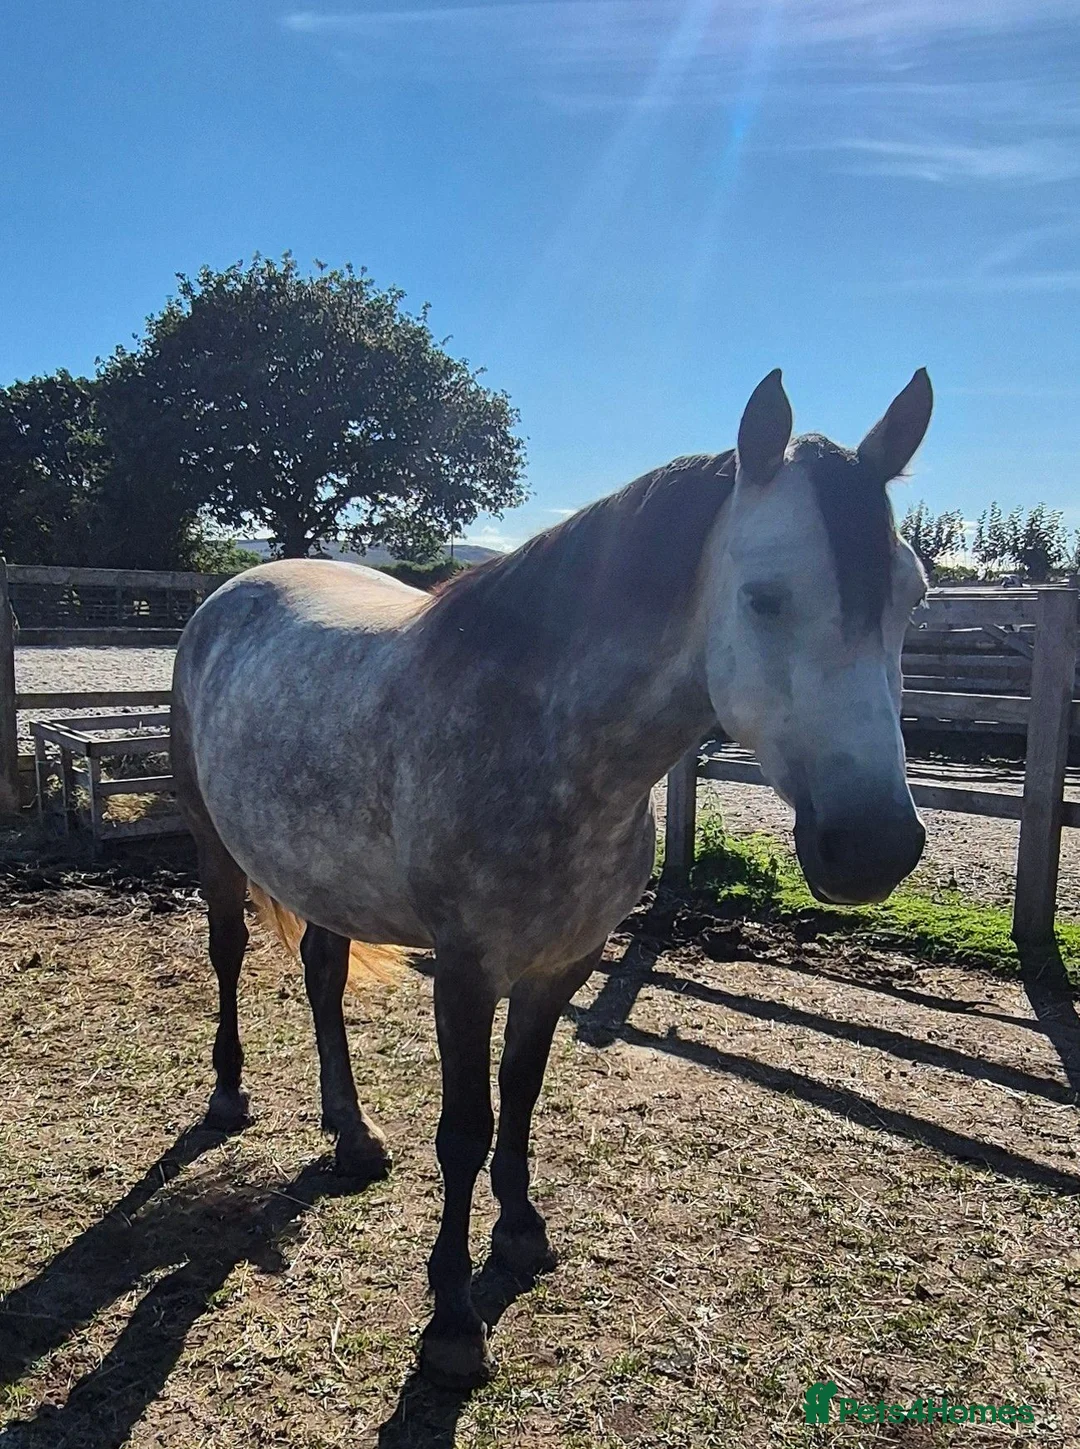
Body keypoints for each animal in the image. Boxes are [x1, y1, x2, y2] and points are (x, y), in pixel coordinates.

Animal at [171, 367, 932, 1388]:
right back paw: (229, 1093)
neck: (550, 738)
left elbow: (523, 1099)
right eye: (765, 597)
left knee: (323, 979)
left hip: (321, 869)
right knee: (226, 951)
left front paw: (523, 1233)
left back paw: (352, 1134)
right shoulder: (465, 972)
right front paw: (453, 1319)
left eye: (913, 599)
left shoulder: (560, 964)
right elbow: (465, 1127)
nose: (875, 844)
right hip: (214, 845)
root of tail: (229, 593)